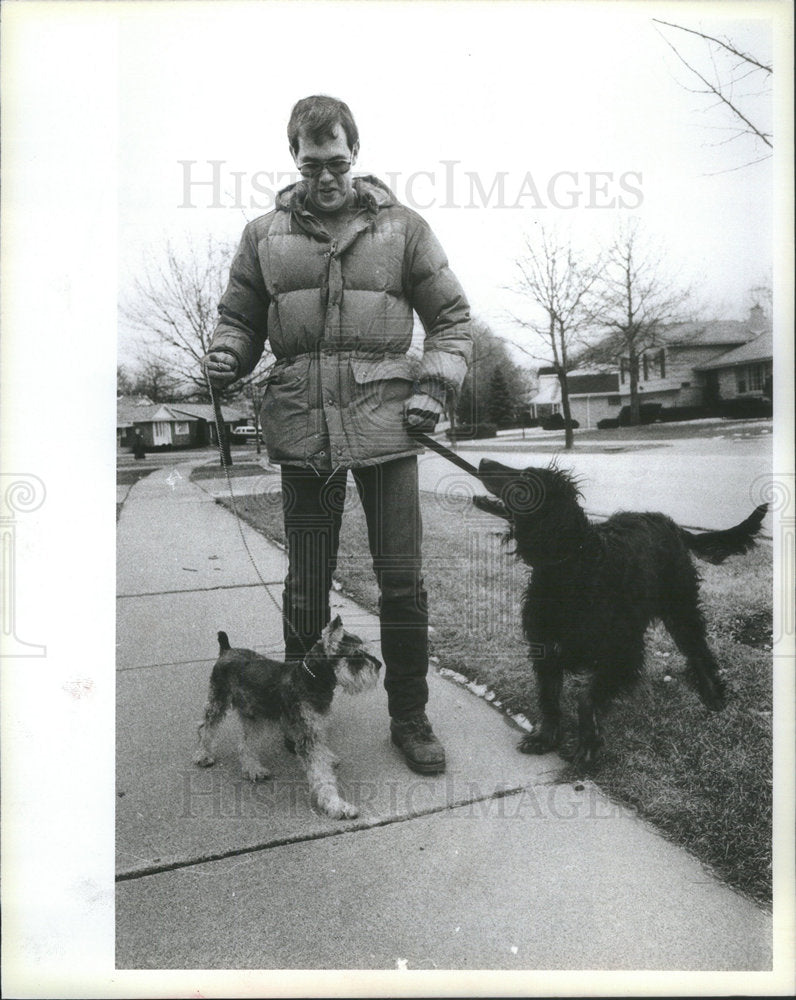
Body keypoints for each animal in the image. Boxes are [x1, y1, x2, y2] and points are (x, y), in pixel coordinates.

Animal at [193, 616, 380, 820]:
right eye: (357, 655)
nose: (379, 665)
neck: (310, 678)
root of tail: (227, 650)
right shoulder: (308, 738)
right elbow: (322, 776)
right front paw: (336, 805)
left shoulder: (317, 727)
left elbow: (323, 756)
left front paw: (328, 759)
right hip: (218, 701)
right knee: (206, 728)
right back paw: (203, 755)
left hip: (254, 715)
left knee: (245, 745)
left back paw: (253, 769)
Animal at [476, 458, 768, 768]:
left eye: (526, 478)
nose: (483, 461)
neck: (572, 565)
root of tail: (672, 524)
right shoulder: (546, 645)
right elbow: (548, 696)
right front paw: (545, 737)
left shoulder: (622, 650)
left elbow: (586, 699)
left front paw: (586, 745)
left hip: (679, 605)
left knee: (698, 647)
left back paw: (712, 693)